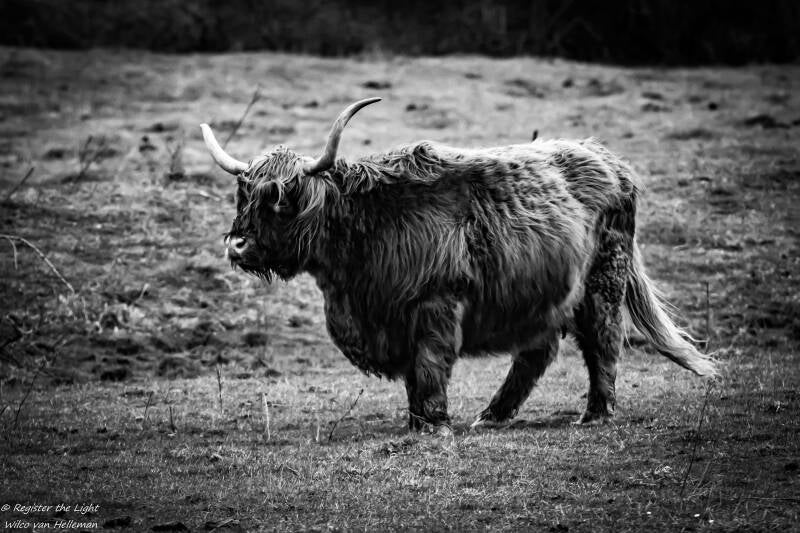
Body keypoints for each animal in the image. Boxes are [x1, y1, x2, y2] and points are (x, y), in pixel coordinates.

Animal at [200, 97, 716, 435]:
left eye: (280, 198)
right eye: (244, 196)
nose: (237, 245)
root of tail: (610, 159)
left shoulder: (436, 302)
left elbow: (429, 365)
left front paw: (433, 425)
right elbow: (414, 374)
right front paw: (417, 421)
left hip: (603, 279)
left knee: (604, 339)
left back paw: (596, 413)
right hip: (546, 293)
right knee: (539, 351)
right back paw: (492, 414)